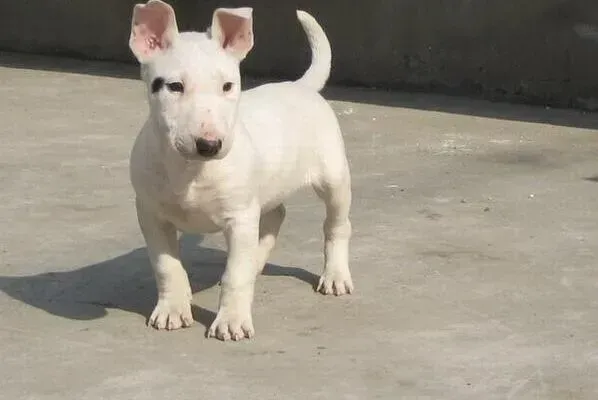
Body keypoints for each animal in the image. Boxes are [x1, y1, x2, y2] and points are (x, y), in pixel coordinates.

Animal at [126, 0, 352, 340]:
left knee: (336, 225)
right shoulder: (151, 215)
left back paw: (335, 275)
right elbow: (167, 265)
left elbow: (236, 275)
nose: (210, 144)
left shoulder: (240, 217)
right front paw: (172, 310)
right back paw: (257, 261)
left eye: (228, 86)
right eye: (174, 87)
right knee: (275, 216)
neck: (191, 170)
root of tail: (300, 86)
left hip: (333, 178)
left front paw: (231, 320)